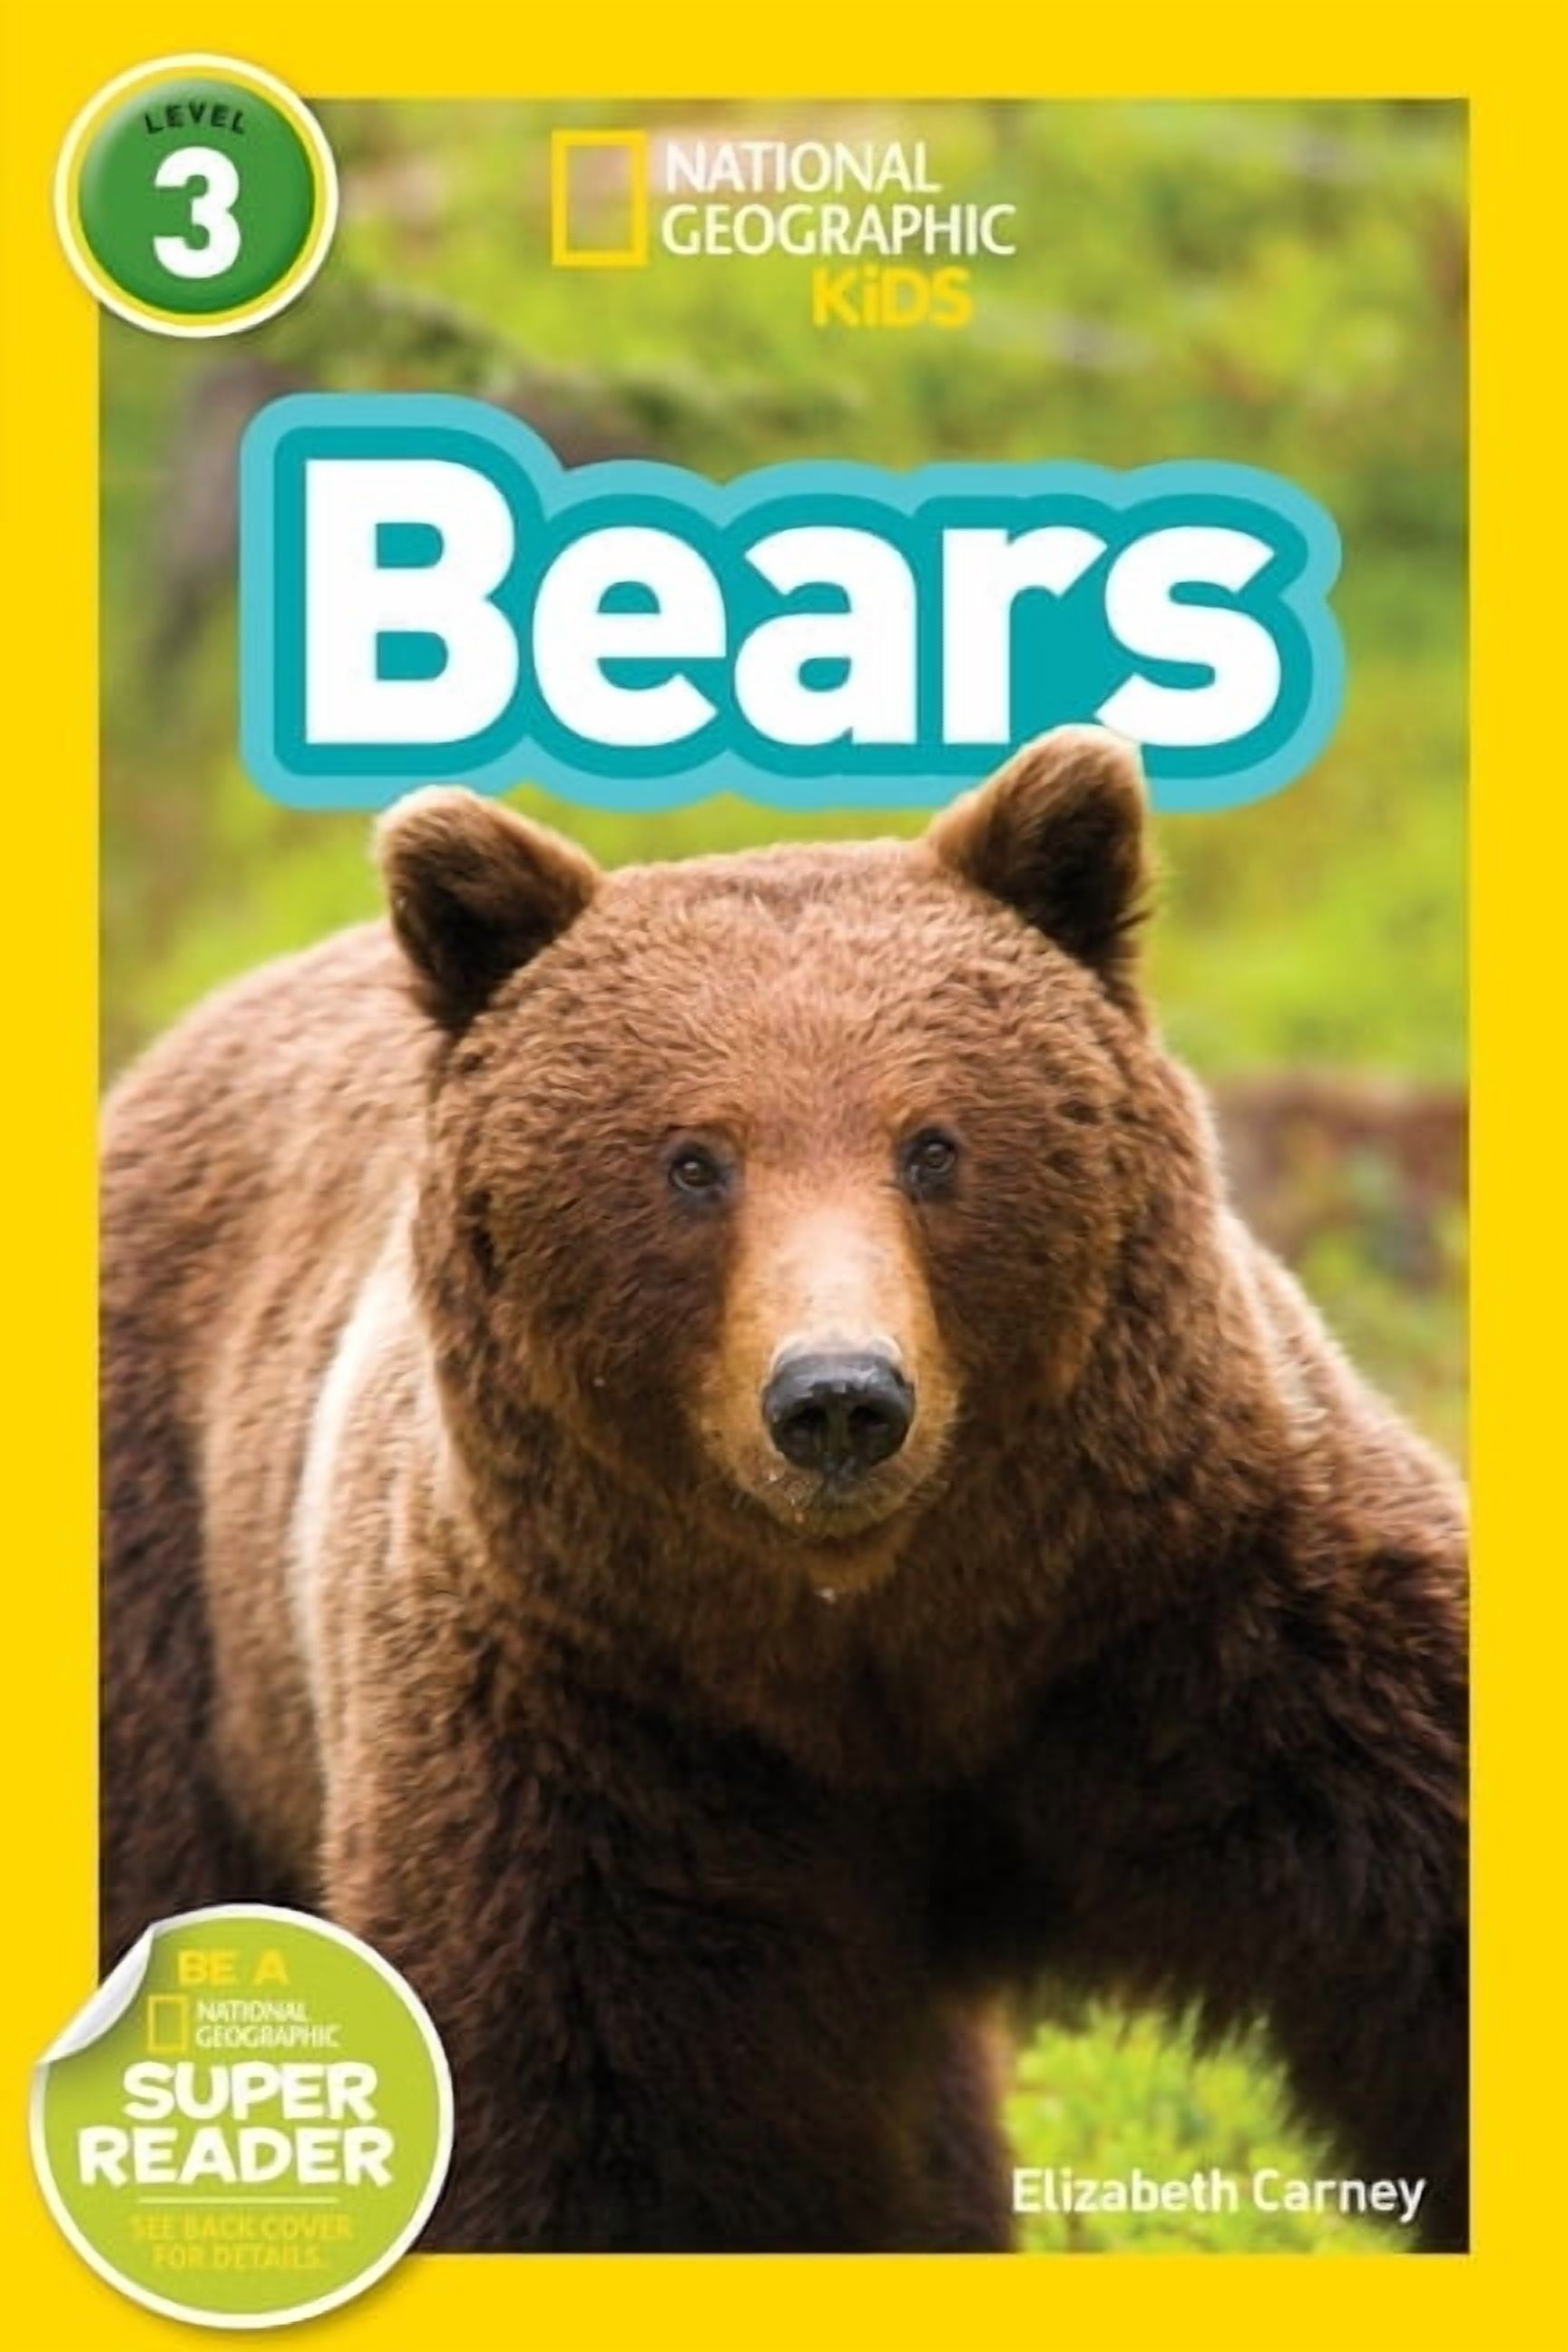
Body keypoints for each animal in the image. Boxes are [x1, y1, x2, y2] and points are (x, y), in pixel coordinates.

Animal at [100, 726, 1468, 2253]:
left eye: (934, 1145)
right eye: (694, 1161)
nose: (838, 1399)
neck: (868, 1644)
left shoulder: (1212, 1616)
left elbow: (1429, 1902)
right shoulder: (590, 1741)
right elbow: (569, 2128)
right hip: (169, 1614)